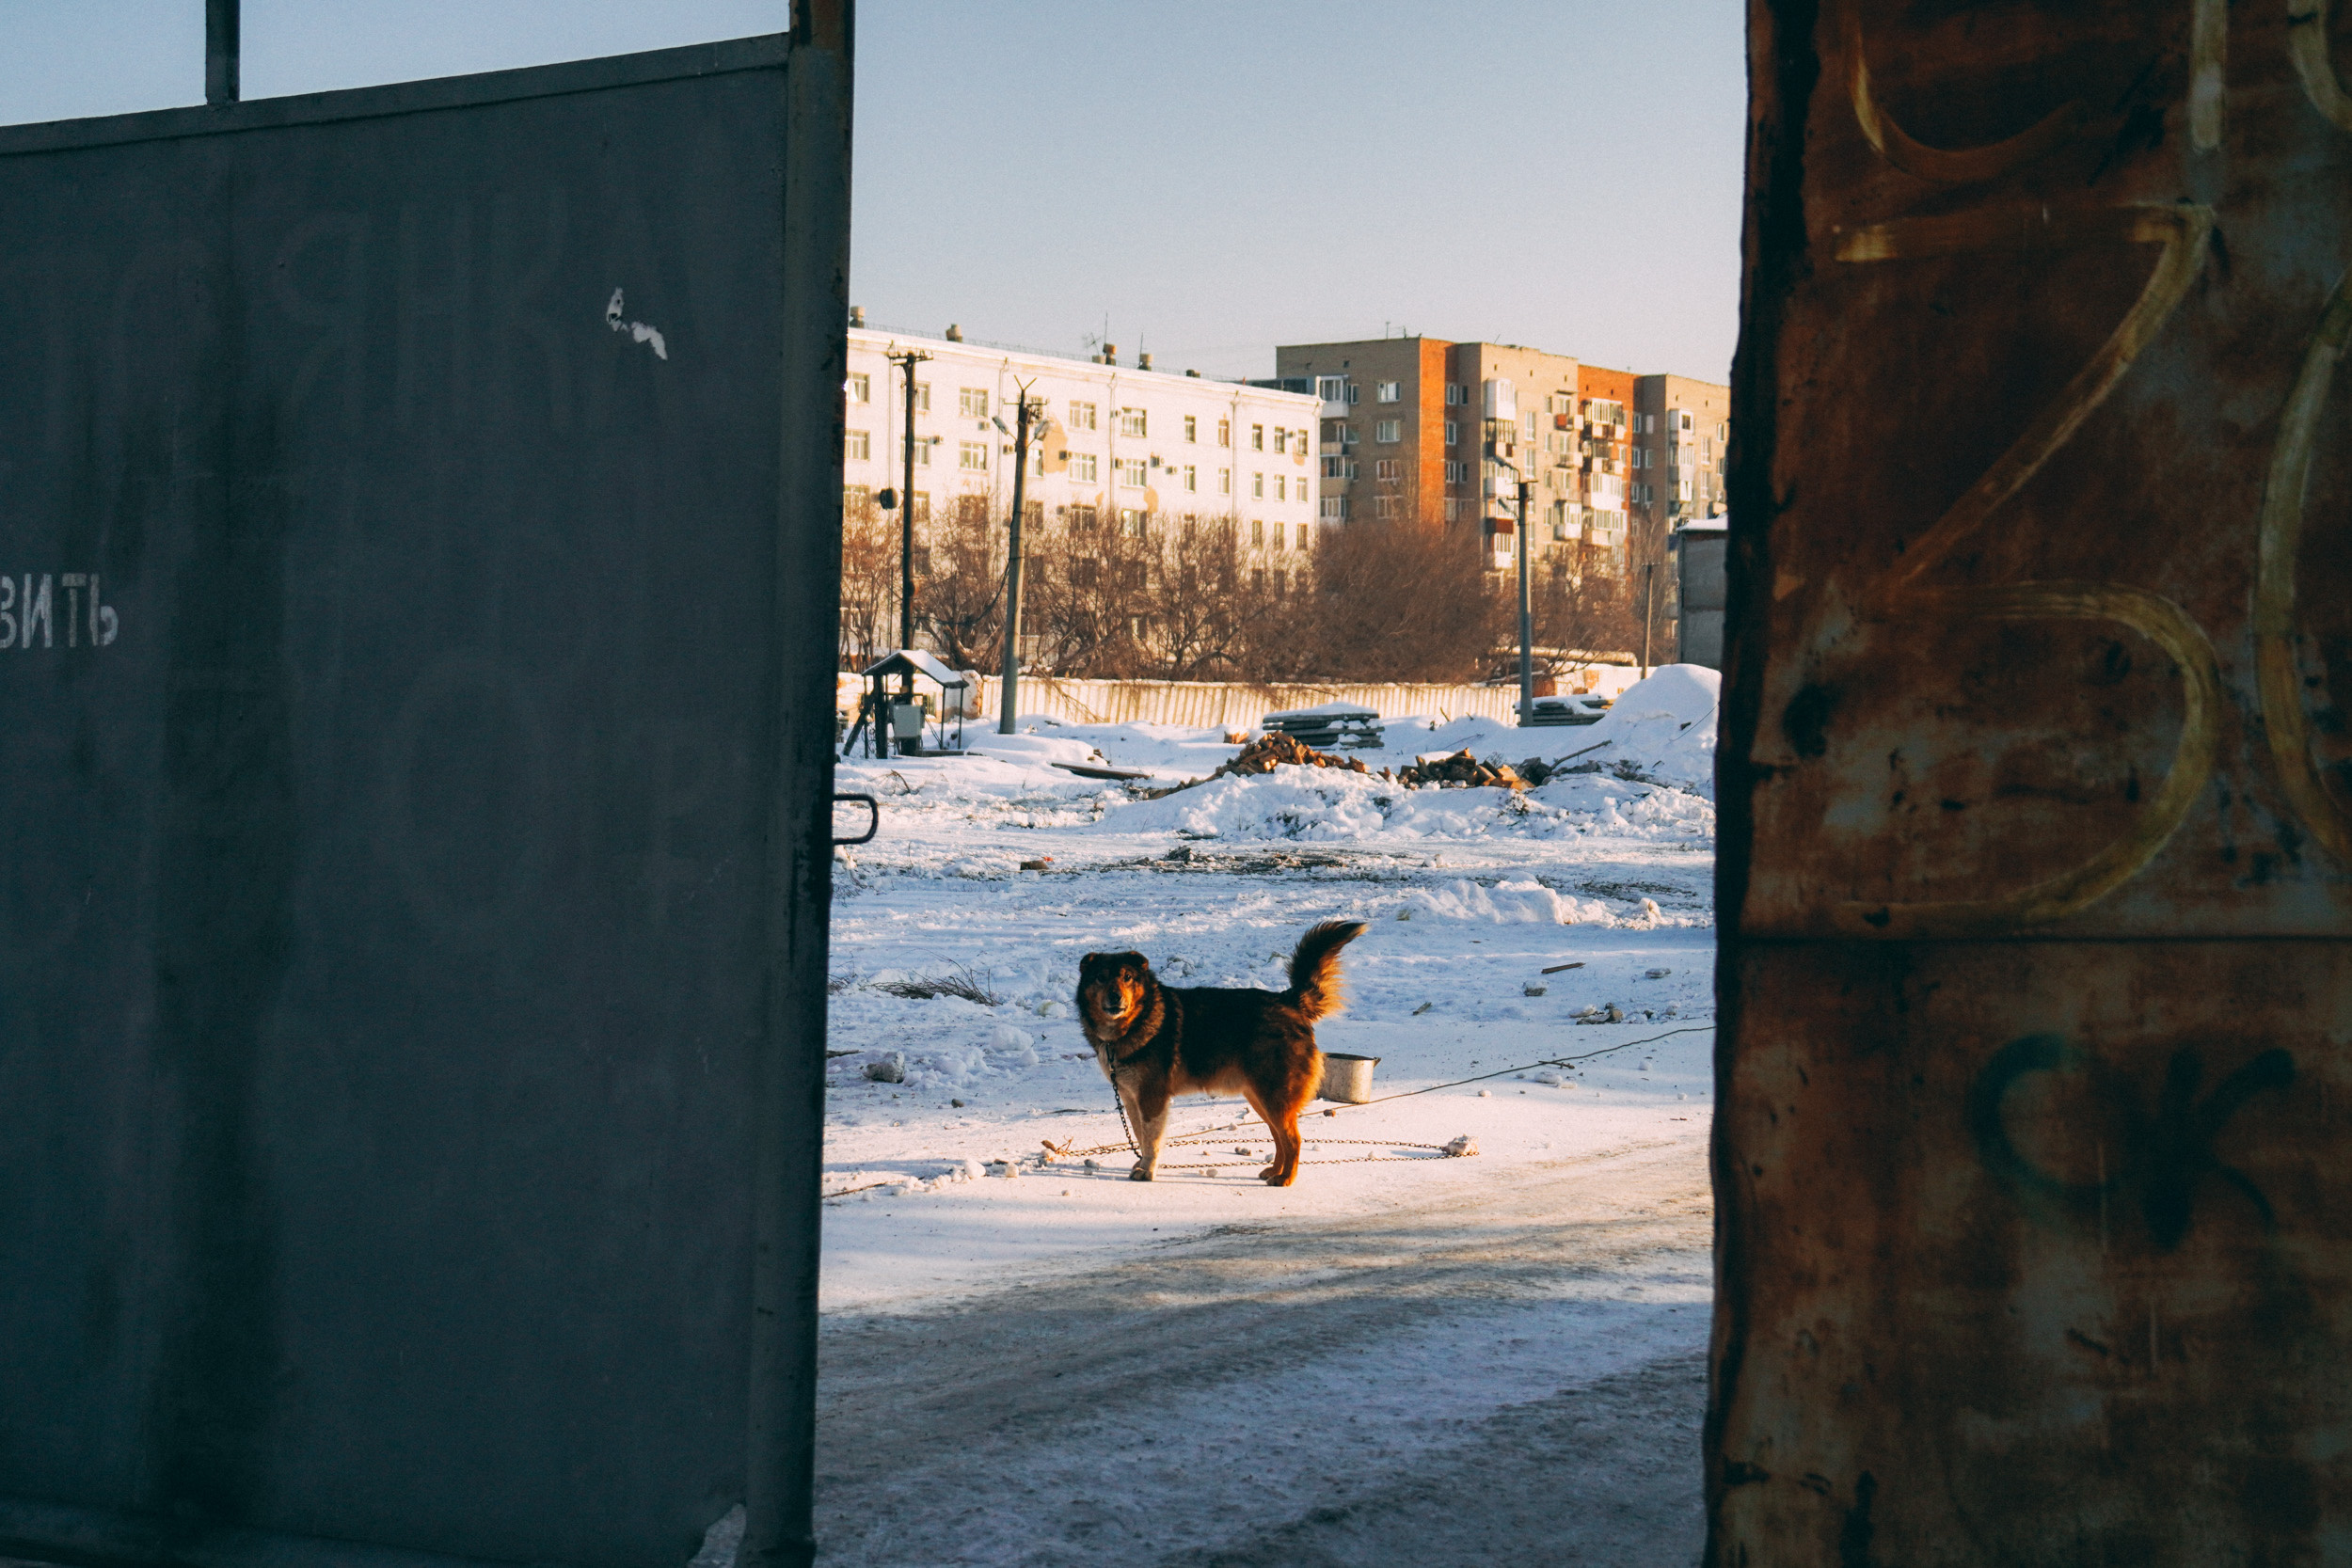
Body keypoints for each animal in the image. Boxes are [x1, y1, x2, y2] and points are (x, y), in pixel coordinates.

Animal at [1077, 921, 1374, 1189]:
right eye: (1101, 977)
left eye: (1127, 977)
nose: (1115, 996)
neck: (1135, 1021)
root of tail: (1289, 1001)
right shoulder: (1131, 1097)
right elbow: (1140, 1136)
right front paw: (1141, 1164)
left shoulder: (1152, 1098)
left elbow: (1151, 1140)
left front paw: (1148, 1170)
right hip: (1261, 1097)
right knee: (1279, 1137)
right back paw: (1274, 1171)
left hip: (1273, 1097)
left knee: (1293, 1140)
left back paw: (1286, 1179)